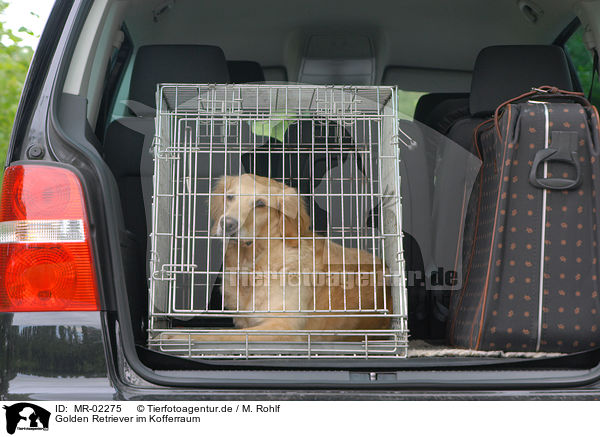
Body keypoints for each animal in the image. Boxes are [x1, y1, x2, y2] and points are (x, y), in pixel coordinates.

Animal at [164, 173, 392, 340]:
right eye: (230, 197)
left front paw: (178, 336)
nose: (227, 224)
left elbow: (221, 335)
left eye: (260, 204)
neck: (253, 260)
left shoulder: (283, 324)